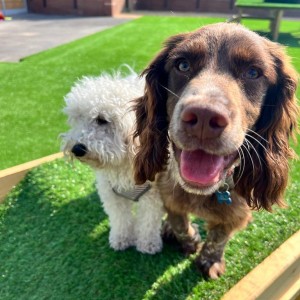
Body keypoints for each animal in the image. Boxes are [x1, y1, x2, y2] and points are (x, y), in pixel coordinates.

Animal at [60, 69, 164, 254]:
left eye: (102, 120)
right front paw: (121, 239)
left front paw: (148, 244)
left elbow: (148, 222)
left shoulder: (152, 195)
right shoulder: (111, 193)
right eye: (78, 118)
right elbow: (119, 219)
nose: (77, 149)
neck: (122, 163)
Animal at [134, 22, 300, 278]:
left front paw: (209, 260)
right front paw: (188, 240)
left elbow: (219, 237)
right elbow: (179, 222)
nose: (203, 116)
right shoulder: (167, 192)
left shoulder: (235, 212)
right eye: (182, 65)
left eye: (253, 72)